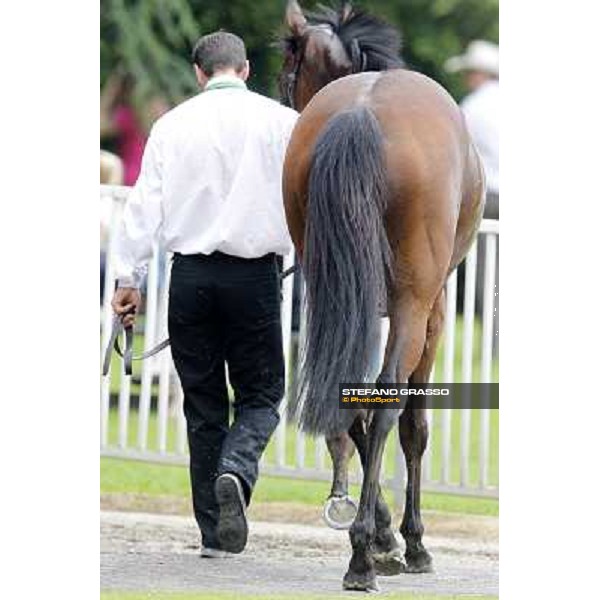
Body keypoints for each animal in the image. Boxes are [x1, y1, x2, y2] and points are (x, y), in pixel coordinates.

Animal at [280, 1, 482, 592]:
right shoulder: (434, 310)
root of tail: (362, 112)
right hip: (415, 305)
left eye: (287, 73)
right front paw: (408, 541)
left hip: (333, 301)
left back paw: (366, 545)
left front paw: (383, 533)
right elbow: (413, 426)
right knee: (392, 403)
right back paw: (364, 560)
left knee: (345, 394)